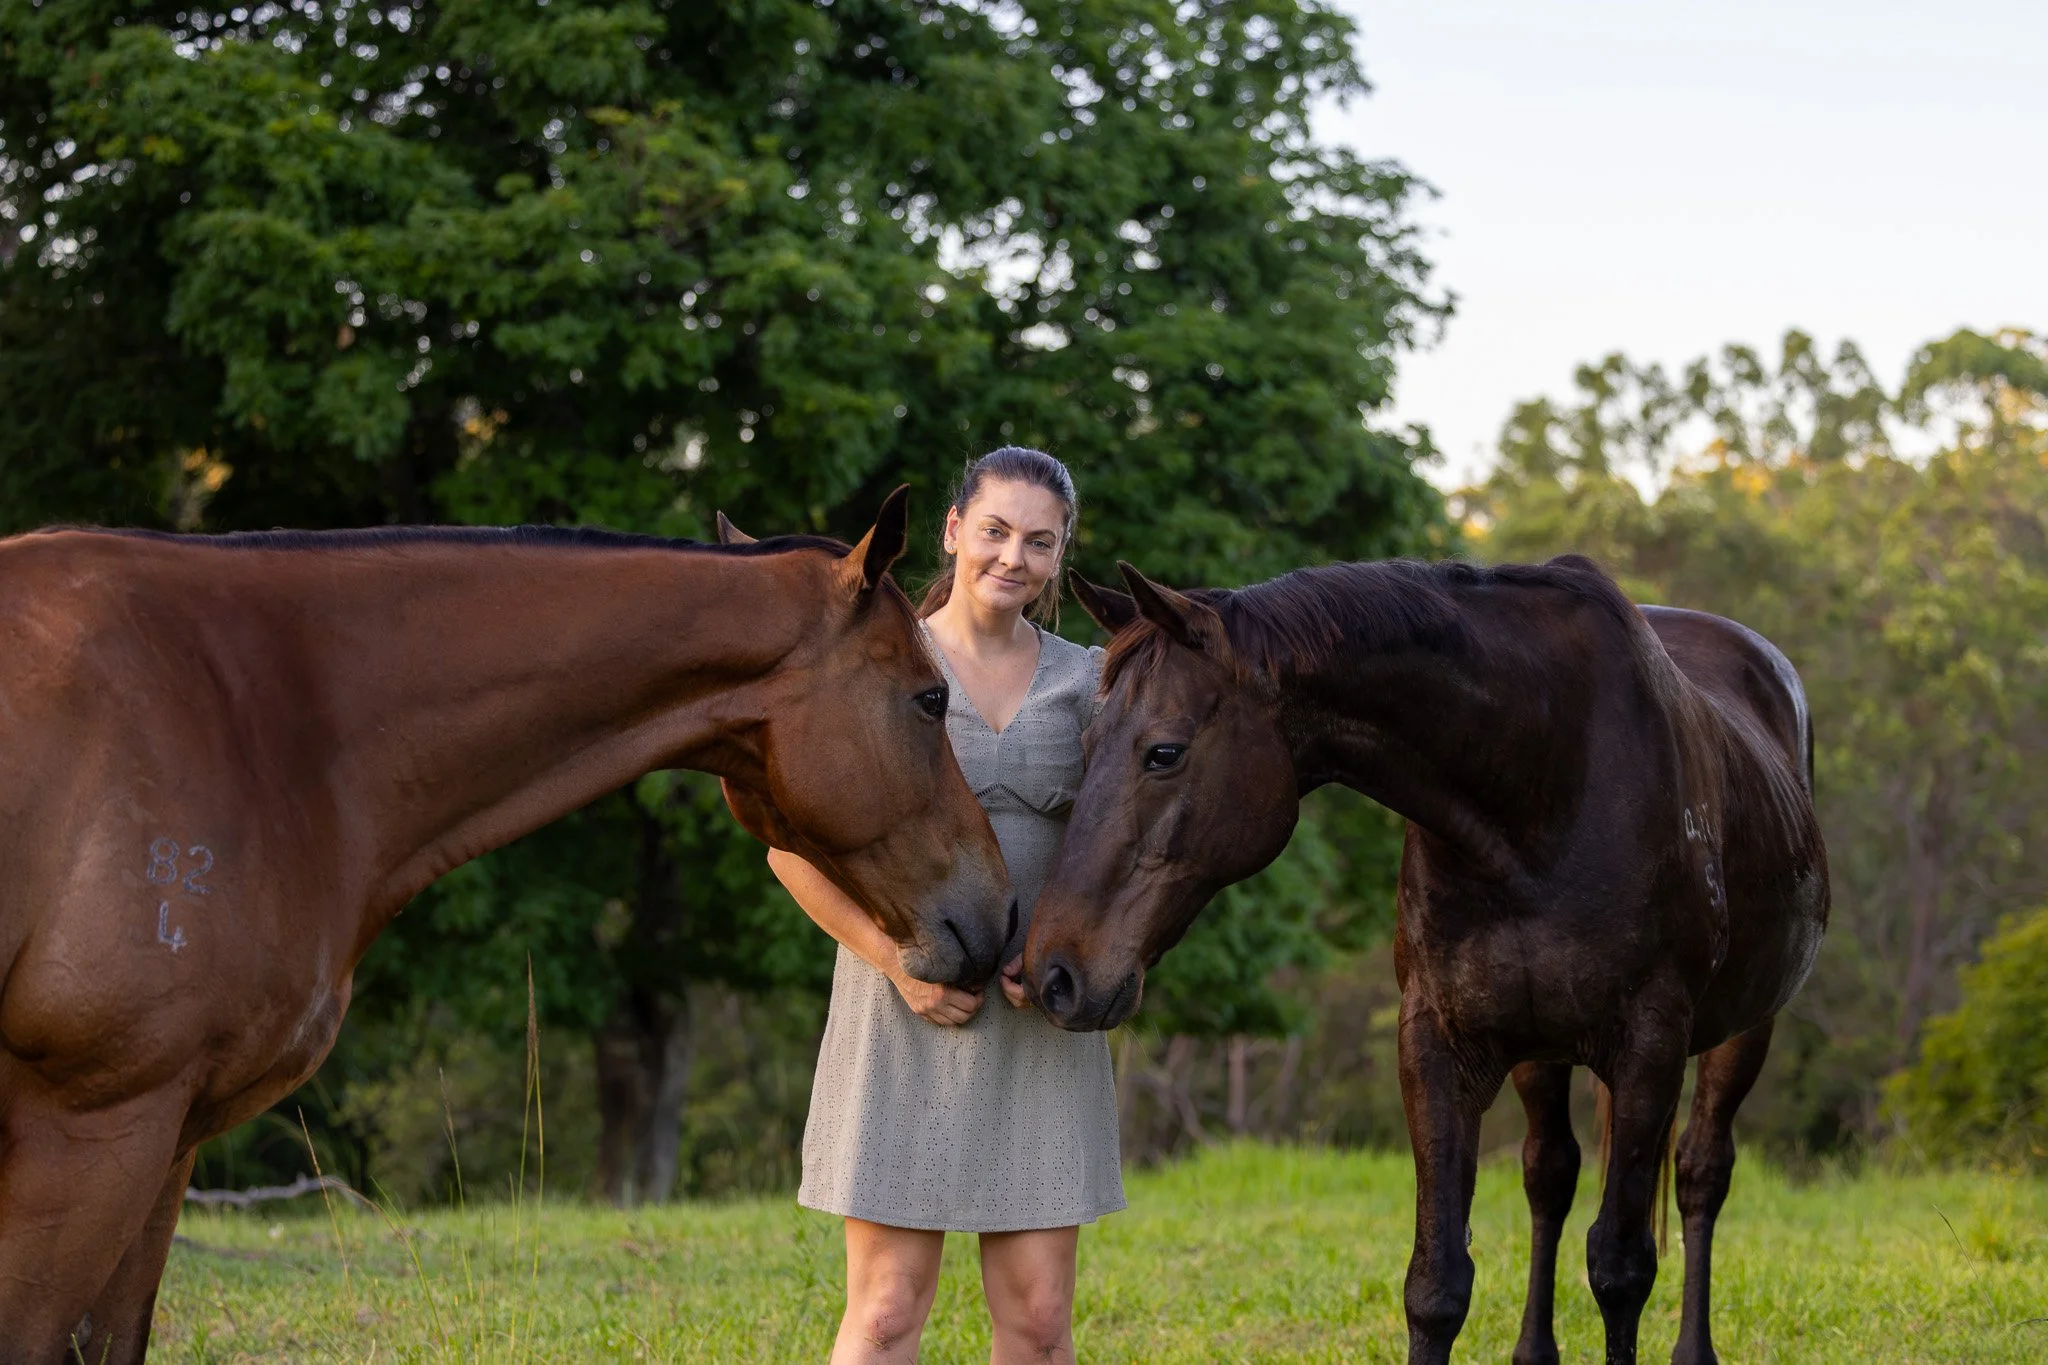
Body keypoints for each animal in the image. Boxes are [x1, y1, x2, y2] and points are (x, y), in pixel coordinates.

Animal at [1025, 555, 1828, 1365]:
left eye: (1164, 752)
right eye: (1083, 749)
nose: (1053, 974)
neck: (1541, 789)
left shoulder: (1649, 1051)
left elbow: (1621, 1269)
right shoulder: (1437, 1044)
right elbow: (1437, 1281)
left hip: (1742, 1032)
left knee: (1700, 1174)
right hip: (1543, 1053)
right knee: (1550, 1174)